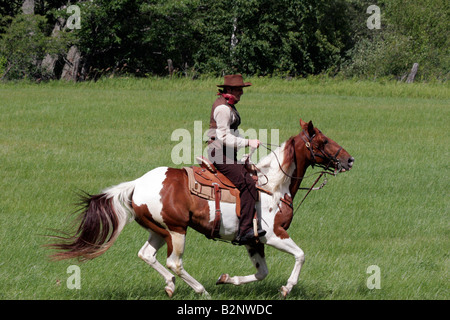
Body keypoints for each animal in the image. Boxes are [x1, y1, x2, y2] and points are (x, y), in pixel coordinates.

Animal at [48, 119, 352, 298]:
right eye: (323, 141)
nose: (349, 160)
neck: (275, 186)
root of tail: (137, 183)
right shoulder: (274, 235)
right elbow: (300, 255)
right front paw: (287, 287)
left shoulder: (253, 240)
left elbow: (261, 272)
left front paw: (226, 278)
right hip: (176, 230)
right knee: (174, 262)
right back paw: (201, 291)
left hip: (158, 230)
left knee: (146, 255)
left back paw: (171, 285)